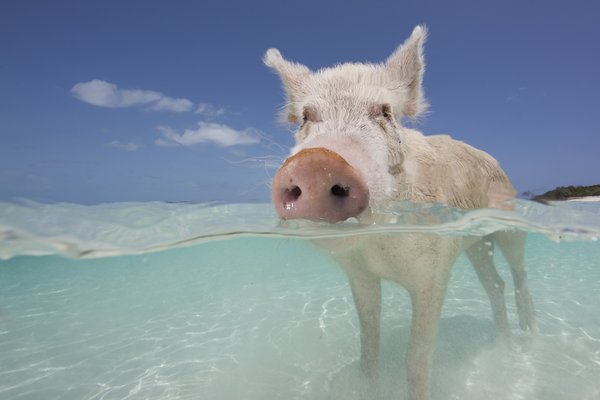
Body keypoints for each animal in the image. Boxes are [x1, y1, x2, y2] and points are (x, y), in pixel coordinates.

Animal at [264, 25, 536, 400]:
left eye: (384, 113)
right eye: (306, 117)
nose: (317, 162)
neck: (380, 247)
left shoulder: (433, 274)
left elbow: (416, 357)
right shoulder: (360, 275)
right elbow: (368, 343)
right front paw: (366, 385)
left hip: (507, 221)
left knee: (518, 268)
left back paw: (529, 331)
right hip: (475, 241)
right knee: (494, 282)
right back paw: (503, 344)